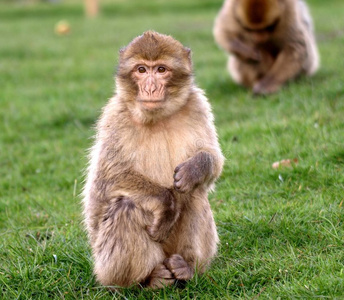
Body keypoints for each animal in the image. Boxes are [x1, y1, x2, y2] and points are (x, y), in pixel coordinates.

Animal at [82, 30, 224, 288]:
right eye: (141, 70)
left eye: (160, 70)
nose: (150, 87)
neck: (159, 118)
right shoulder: (115, 115)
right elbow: (106, 179)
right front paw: (168, 204)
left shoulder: (198, 105)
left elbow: (213, 159)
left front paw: (194, 169)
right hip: (105, 264)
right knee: (125, 207)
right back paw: (147, 278)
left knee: (194, 194)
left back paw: (187, 267)